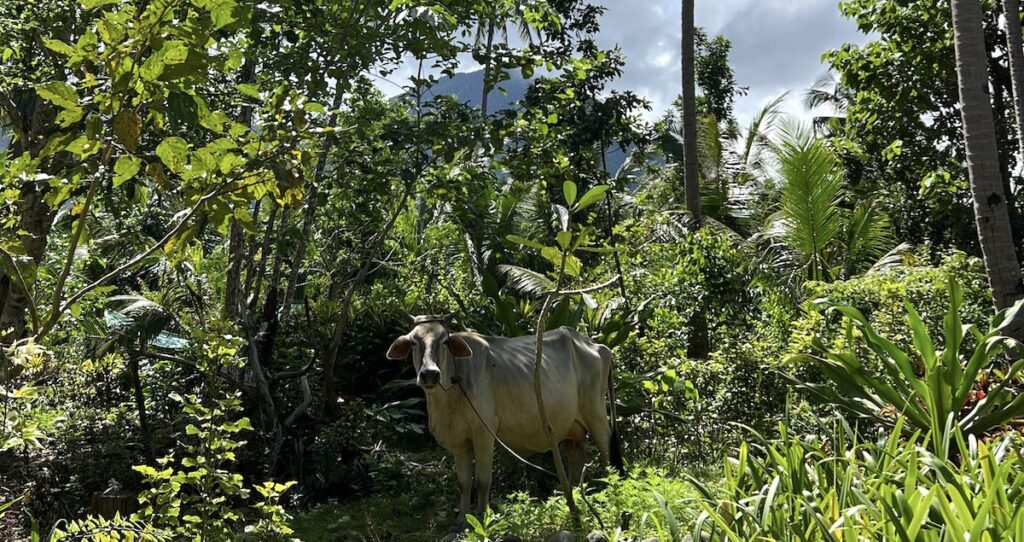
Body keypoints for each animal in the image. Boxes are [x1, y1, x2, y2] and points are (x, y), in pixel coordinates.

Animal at [385, 315, 622, 532]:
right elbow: (464, 482)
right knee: (576, 465)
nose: (429, 374)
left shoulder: (484, 431)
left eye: (444, 341)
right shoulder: (458, 441)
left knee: (608, 458)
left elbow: (482, 480)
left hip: (597, 416)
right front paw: (461, 522)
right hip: (571, 431)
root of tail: (598, 346)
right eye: (414, 341)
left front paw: (481, 519)